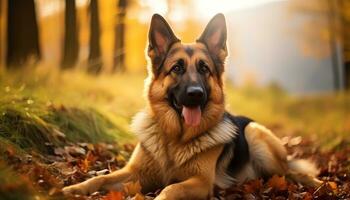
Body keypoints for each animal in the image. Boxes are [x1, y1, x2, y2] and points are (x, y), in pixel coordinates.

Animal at [63, 13, 322, 199]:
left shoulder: (200, 182)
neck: (174, 140)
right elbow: (100, 179)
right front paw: (69, 189)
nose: (195, 94)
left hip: (256, 136)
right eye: (176, 68)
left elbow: (170, 189)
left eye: (204, 68)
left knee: (292, 172)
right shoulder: (134, 174)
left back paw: (318, 183)